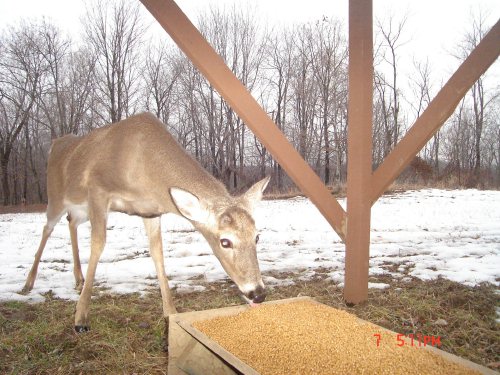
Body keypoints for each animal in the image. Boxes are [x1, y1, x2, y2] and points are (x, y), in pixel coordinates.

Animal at [22, 113, 270, 334]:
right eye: (225, 241)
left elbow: (157, 253)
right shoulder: (98, 191)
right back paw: (28, 284)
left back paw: (78, 277)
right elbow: (99, 244)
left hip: (79, 209)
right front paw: (81, 319)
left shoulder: (151, 212)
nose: (258, 293)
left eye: (257, 236)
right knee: (47, 227)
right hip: (56, 197)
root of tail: (56, 143)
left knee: (71, 222)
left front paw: (170, 313)